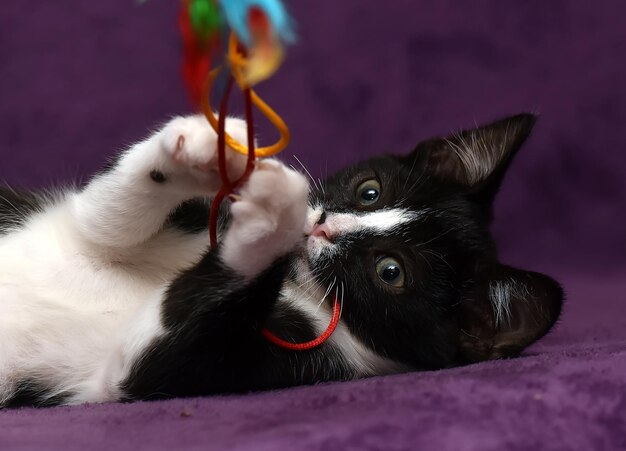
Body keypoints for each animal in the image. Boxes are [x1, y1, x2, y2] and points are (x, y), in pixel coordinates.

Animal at [0, 114, 560, 410]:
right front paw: (209, 145)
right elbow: (102, 220)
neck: (297, 288)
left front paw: (274, 215)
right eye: (369, 190)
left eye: (391, 272)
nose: (322, 225)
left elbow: (148, 360)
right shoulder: (88, 222)